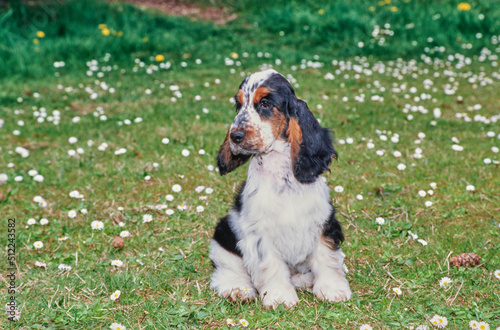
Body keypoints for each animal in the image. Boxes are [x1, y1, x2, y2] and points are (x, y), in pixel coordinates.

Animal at [208, 68, 352, 308]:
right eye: (238, 105)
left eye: (265, 104)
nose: (235, 136)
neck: (282, 176)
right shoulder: (260, 233)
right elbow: (271, 266)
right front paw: (280, 297)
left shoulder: (323, 222)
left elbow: (327, 257)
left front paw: (333, 290)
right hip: (224, 231)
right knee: (226, 269)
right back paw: (237, 289)